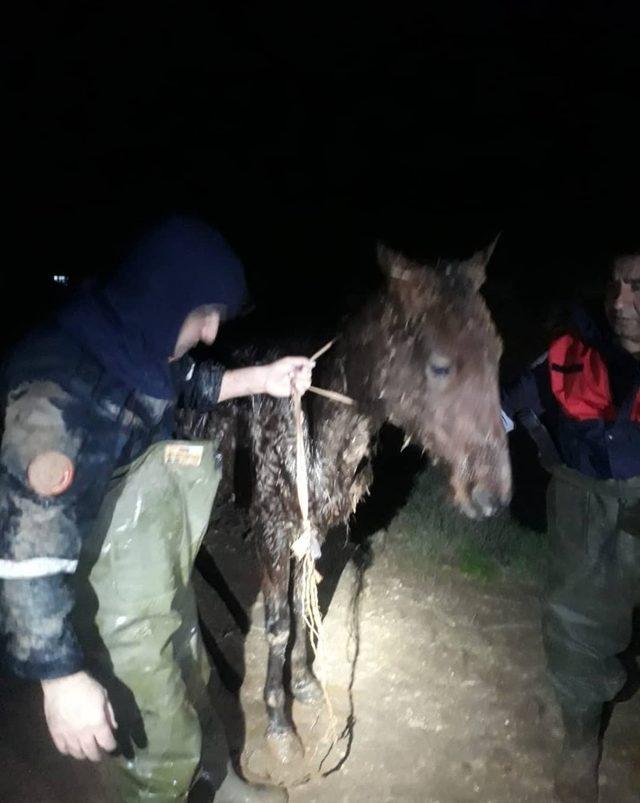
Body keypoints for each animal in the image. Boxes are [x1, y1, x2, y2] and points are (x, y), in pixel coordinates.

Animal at [180, 242, 510, 764]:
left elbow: (301, 605)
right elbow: (279, 622)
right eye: (440, 365)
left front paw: (305, 685)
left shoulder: (312, 528)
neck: (308, 422)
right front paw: (279, 723)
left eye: (497, 354)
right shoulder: (271, 527)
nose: (492, 494)